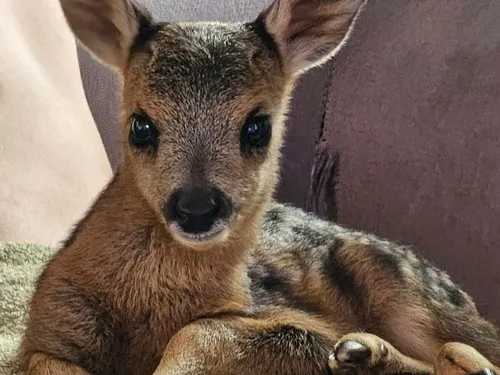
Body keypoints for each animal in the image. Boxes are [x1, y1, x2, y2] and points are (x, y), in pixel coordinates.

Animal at [20, 0, 500, 375]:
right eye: (140, 125)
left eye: (258, 127)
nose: (196, 208)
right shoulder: (49, 328)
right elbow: (46, 361)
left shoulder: (286, 318)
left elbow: (199, 332)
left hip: (405, 291)